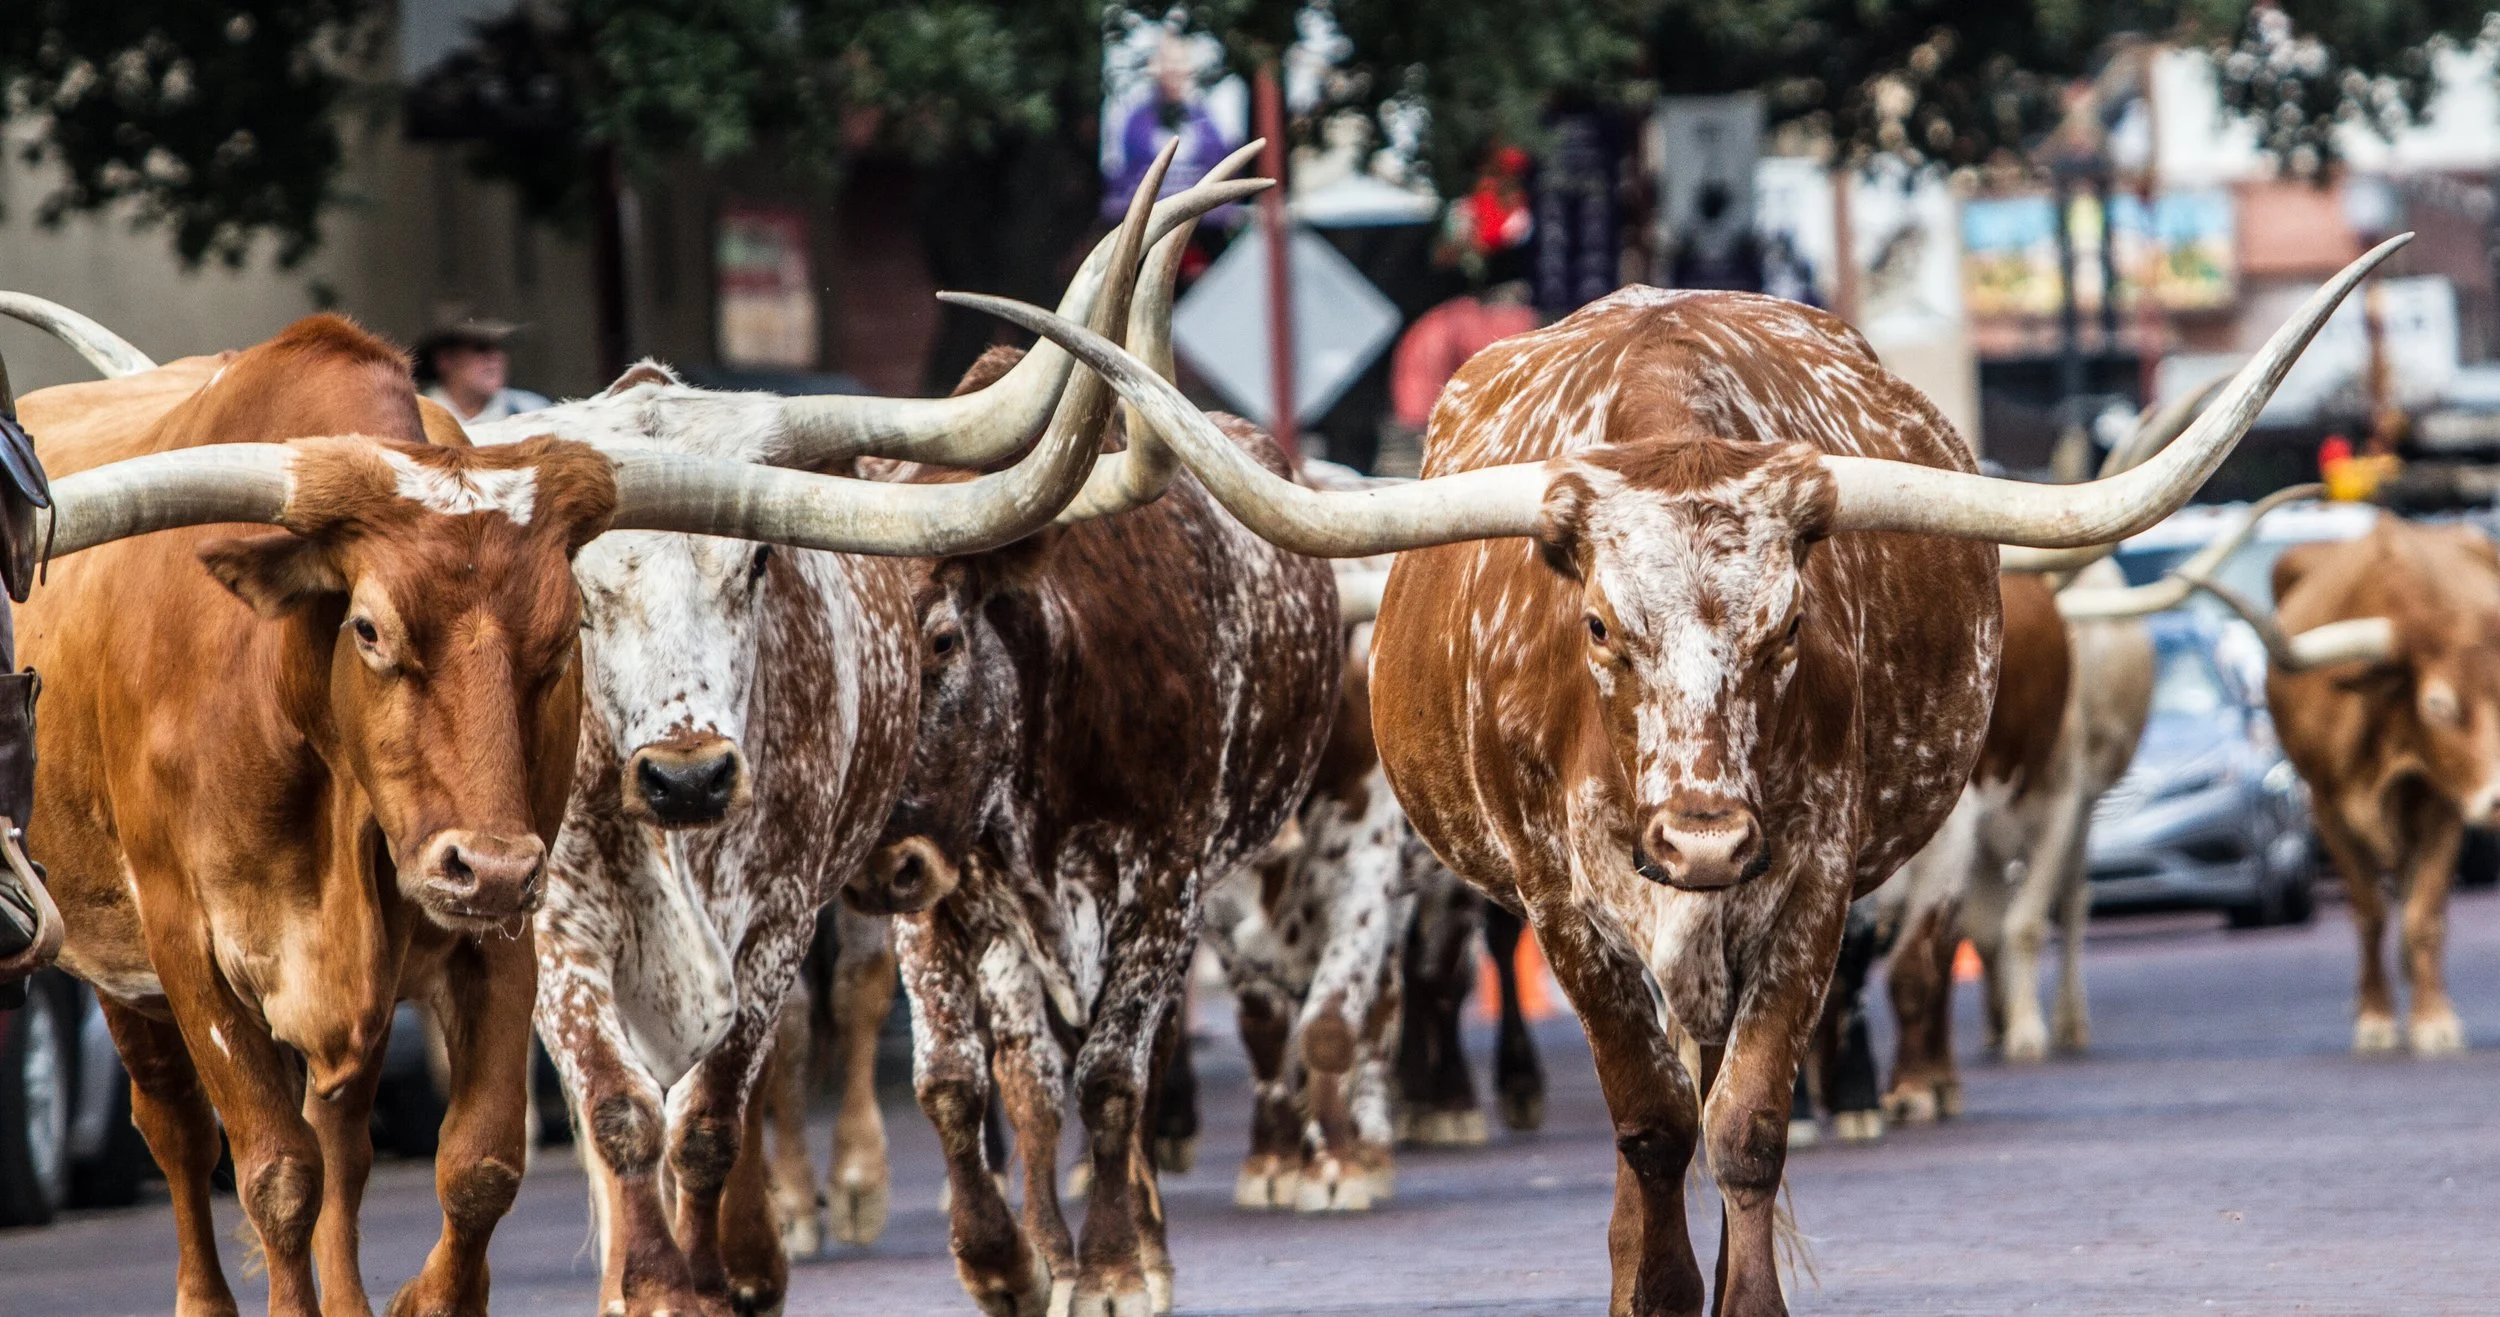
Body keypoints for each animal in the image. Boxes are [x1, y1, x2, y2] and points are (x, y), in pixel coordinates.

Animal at [976, 236, 2394, 1314]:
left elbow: (1745, 1122)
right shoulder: (1564, 908)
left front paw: (1738, 1291)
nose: (1702, 835)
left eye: (1788, 625)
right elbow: (1650, 1123)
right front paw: (1651, 1290)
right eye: (1600, 626)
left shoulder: (1812, 884)